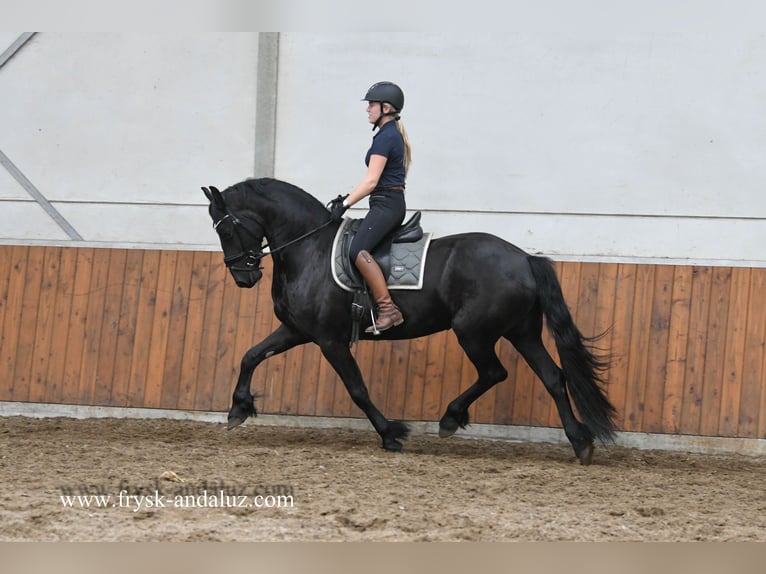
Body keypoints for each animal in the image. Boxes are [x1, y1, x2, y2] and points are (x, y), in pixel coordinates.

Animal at [202, 178, 616, 466]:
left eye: (226, 229)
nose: (243, 277)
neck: (310, 249)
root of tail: (525, 259)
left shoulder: (329, 340)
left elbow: (357, 389)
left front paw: (391, 434)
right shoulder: (298, 331)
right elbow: (251, 355)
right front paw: (238, 410)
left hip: (474, 333)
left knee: (495, 373)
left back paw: (451, 418)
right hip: (521, 333)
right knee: (553, 377)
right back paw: (580, 443)